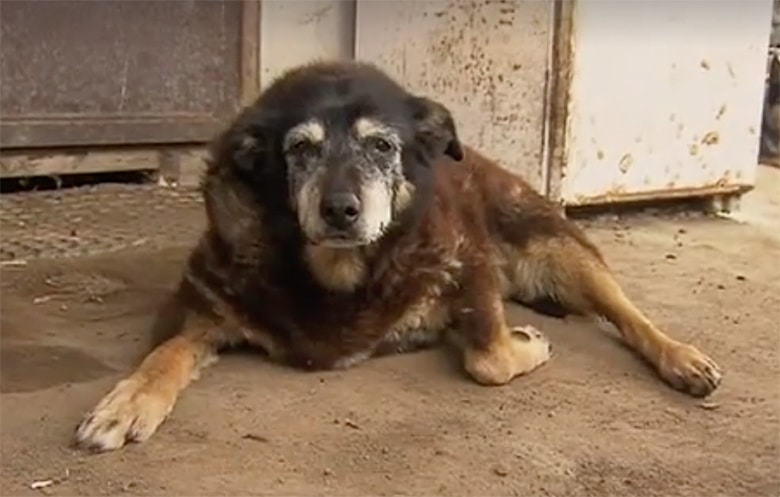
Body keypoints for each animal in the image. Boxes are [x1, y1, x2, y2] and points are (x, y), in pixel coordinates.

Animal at [74, 60, 724, 452]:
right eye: (300, 150)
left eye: (382, 146)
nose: (340, 210)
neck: (340, 276)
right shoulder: (201, 306)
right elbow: (164, 355)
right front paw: (127, 402)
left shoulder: (468, 262)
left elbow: (488, 358)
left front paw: (525, 343)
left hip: (557, 245)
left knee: (627, 313)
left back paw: (682, 359)